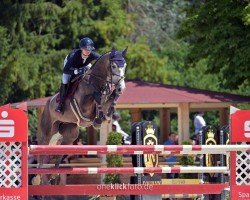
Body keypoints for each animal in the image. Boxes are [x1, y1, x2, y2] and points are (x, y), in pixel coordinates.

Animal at [35, 47, 127, 186]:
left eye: (125, 65)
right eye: (114, 66)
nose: (121, 87)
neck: (96, 82)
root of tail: (48, 103)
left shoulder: (104, 102)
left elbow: (109, 100)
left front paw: (109, 109)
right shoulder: (84, 105)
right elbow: (96, 97)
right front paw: (98, 119)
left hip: (70, 135)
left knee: (58, 154)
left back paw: (54, 175)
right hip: (47, 133)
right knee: (42, 154)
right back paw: (43, 177)